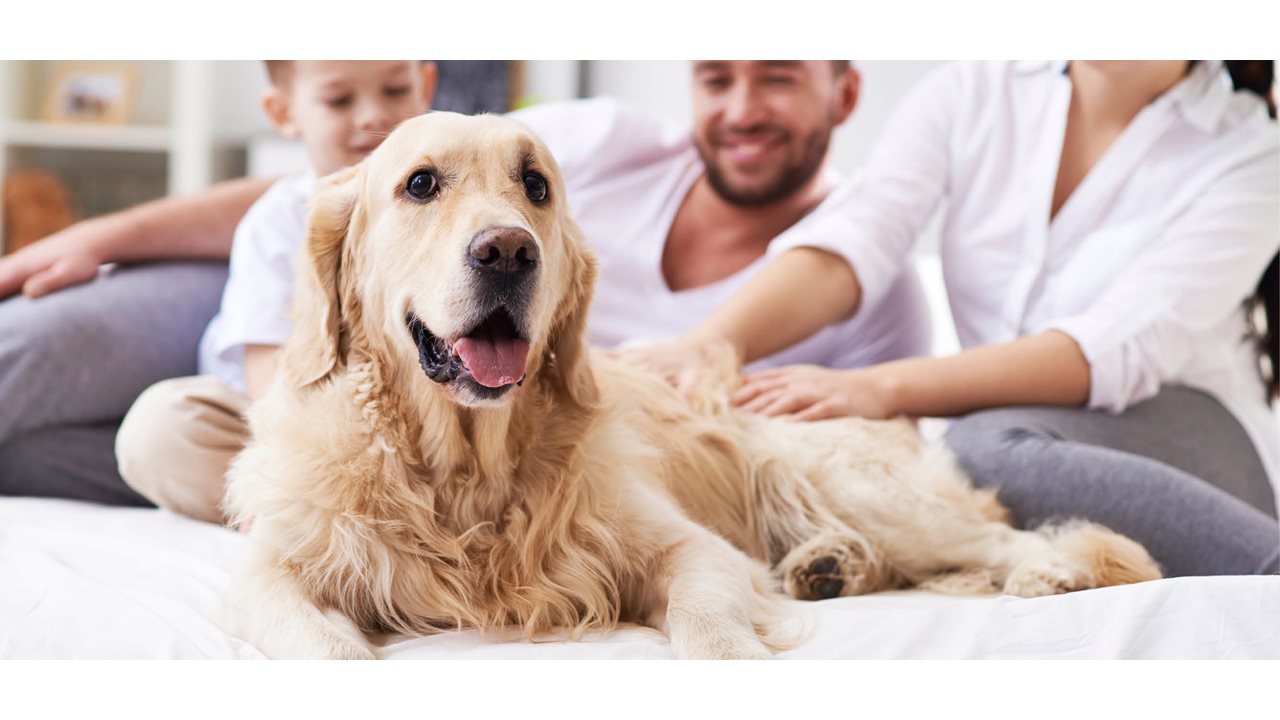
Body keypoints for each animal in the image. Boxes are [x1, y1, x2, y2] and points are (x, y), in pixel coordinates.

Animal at [225, 110, 1167, 655]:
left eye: (535, 186)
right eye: (420, 184)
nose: (509, 251)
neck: (464, 471)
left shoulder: (687, 548)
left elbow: (710, 621)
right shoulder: (277, 569)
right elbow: (316, 640)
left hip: (855, 483)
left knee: (1001, 538)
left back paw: (1048, 574)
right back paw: (828, 566)